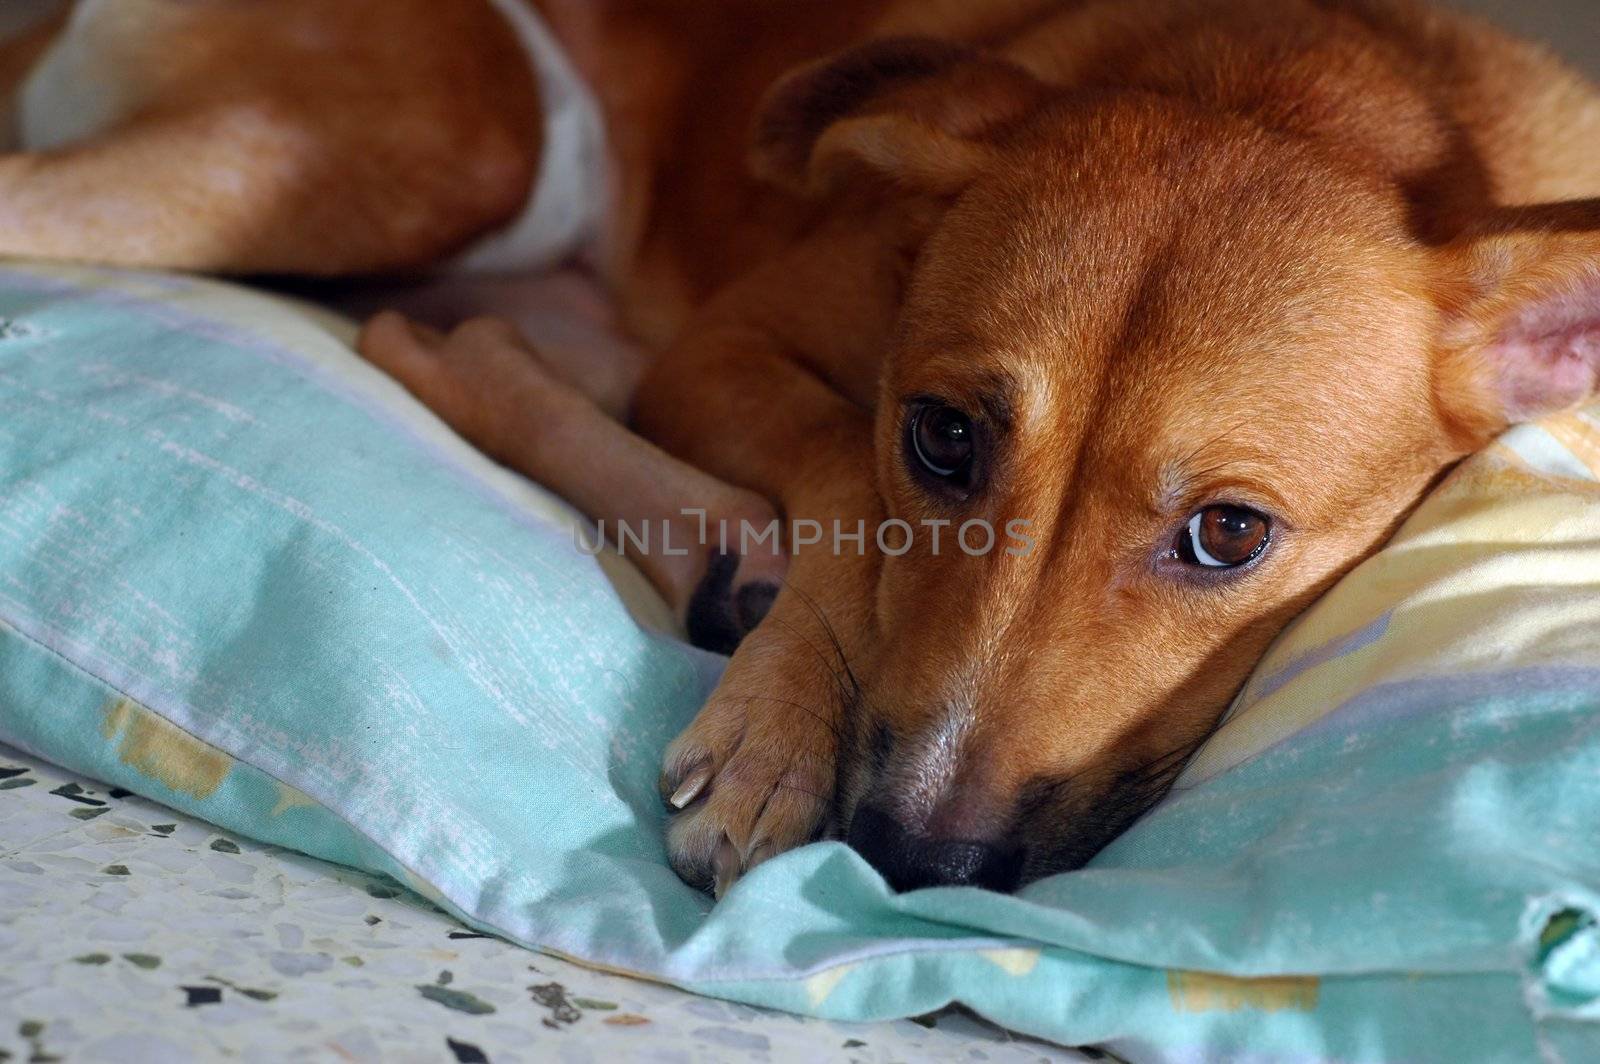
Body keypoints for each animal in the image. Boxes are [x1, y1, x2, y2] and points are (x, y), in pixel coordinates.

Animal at [3, 2, 1600, 896]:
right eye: (942, 440)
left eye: (1229, 534)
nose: (907, 863)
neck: (1285, 85)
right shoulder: (727, 344)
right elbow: (840, 464)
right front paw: (774, 734)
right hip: (458, 146)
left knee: (441, 340)